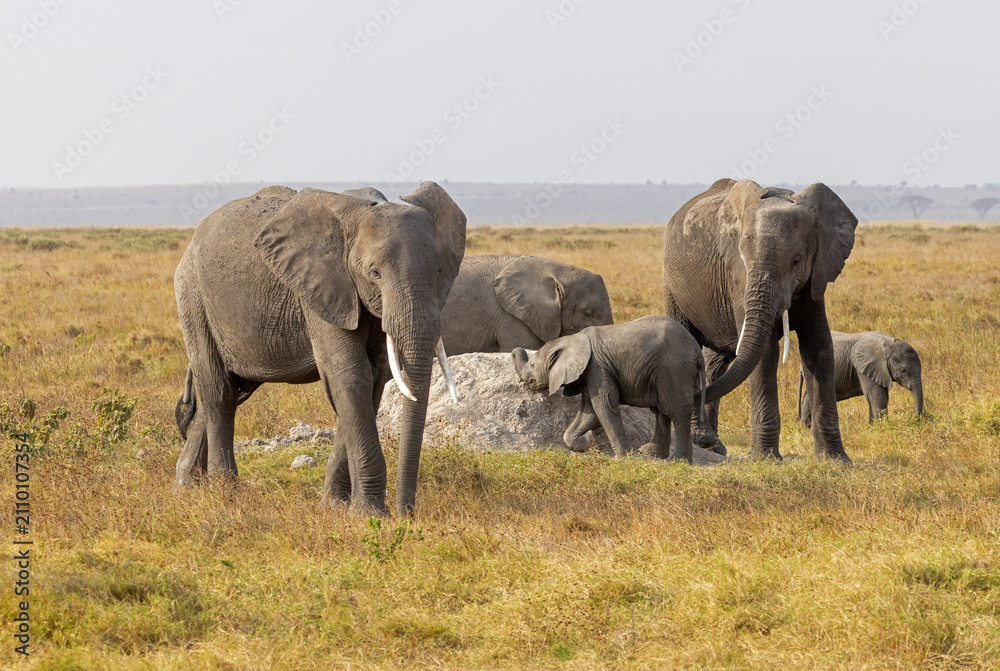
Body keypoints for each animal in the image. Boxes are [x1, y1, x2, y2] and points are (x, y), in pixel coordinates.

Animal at [172, 182, 466, 516]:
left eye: (440, 271)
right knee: (218, 390)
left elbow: (374, 379)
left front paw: (336, 507)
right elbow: (350, 376)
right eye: (375, 273)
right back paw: (226, 492)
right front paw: (369, 514)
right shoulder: (320, 288)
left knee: (227, 392)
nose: (407, 514)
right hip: (193, 296)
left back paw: (187, 487)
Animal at [511, 316, 706, 463]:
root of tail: (697, 351)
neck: (571, 339)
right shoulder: (589, 374)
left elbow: (604, 407)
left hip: (675, 369)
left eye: (533, 365)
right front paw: (589, 440)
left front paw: (621, 459)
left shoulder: (596, 368)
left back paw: (676, 461)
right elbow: (590, 412)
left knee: (677, 411)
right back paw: (651, 453)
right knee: (662, 410)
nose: (513, 351)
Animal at [662, 178, 858, 462]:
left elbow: (819, 347)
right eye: (743, 257)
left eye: (796, 260)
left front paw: (835, 460)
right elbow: (765, 352)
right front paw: (765, 459)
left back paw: (712, 445)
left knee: (716, 364)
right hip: (672, 286)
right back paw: (704, 440)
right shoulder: (738, 280)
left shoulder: (816, 276)